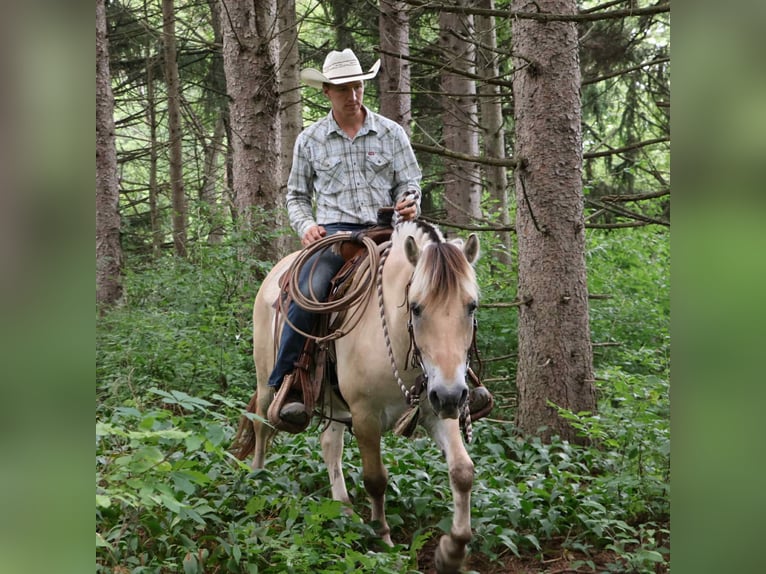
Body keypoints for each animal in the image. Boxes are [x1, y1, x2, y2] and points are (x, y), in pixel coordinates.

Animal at [235, 219, 480, 574]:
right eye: (416, 307)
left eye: (471, 306)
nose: (451, 395)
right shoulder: (365, 417)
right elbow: (376, 478)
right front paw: (383, 539)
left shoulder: (438, 407)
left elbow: (462, 472)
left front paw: (452, 552)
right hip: (267, 381)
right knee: (261, 425)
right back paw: (257, 478)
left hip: (335, 401)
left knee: (329, 445)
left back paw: (344, 509)